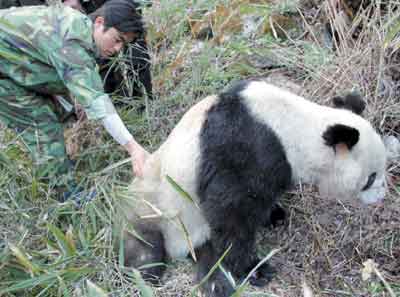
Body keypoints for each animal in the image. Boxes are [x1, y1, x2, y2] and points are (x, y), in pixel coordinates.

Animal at [121, 78, 384, 296]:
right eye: (371, 178)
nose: (381, 197)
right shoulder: (246, 147)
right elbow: (231, 210)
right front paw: (255, 269)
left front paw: (274, 214)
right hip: (154, 211)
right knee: (145, 249)